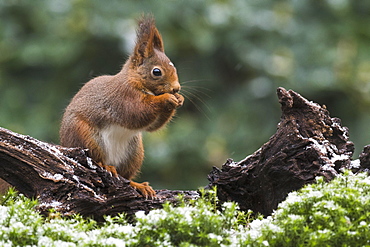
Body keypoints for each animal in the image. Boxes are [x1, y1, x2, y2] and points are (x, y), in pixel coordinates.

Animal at [59, 15, 185, 197]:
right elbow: (137, 112)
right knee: (96, 159)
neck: (135, 80)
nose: (176, 88)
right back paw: (106, 166)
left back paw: (138, 185)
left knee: (125, 176)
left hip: (133, 153)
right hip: (86, 136)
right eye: (156, 72)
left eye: (173, 66)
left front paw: (179, 99)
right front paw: (166, 98)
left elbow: (152, 126)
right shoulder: (123, 98)